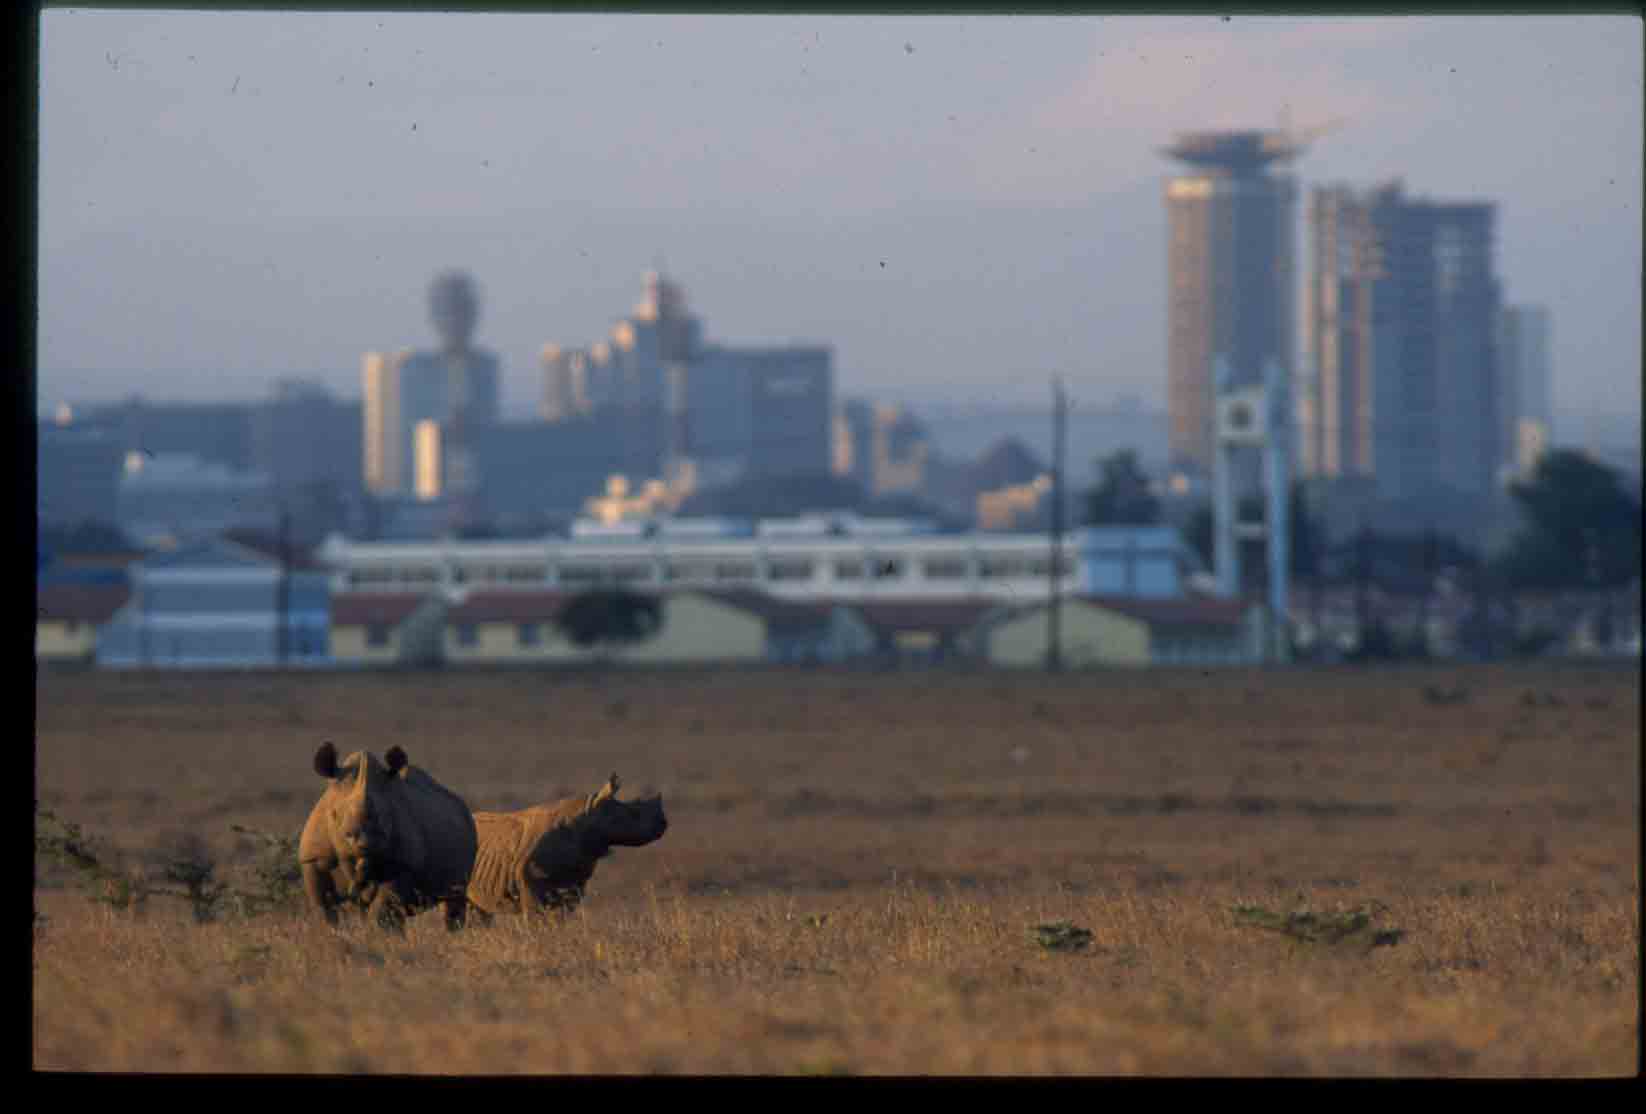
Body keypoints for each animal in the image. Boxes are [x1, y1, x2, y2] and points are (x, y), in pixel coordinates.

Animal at [299, 741, 479, 931]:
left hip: (468, 829)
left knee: (454, 898)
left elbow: (383, 910)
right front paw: (329, 932)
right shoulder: (313, 859)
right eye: (333, 814)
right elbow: (323, 907)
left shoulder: (402, 864)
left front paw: (382, 937)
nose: (364, 842)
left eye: (386, 818)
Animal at [466, 773, 668, 918]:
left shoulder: (575, 881)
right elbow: (535, 917)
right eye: (633, 814)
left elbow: (561, 915)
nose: (663, 824)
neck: (587, 814)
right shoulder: (530, 880)